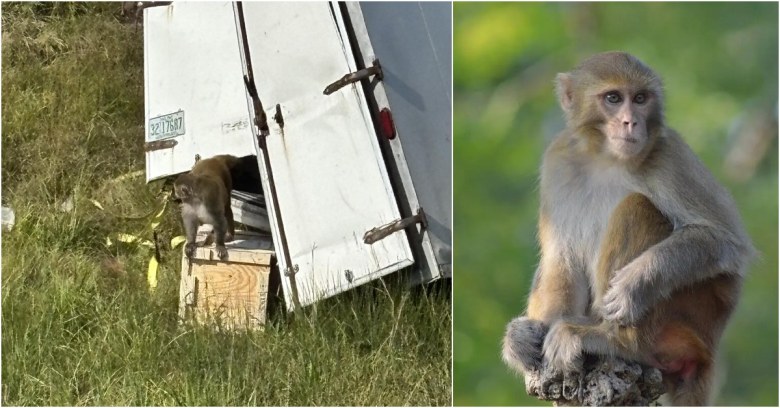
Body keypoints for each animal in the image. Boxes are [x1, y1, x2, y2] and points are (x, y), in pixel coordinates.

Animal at [501, 52, 753, 405]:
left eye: (640, 99)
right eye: (613, 98)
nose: (630, 122)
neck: (607, 159)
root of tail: (710, 349)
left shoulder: (670, 155)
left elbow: (724, 240)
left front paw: (634, 285)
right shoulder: (558, 161)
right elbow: (560, 258)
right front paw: (527, 339)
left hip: (691, 315)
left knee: (637, 206)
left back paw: (617, 340)